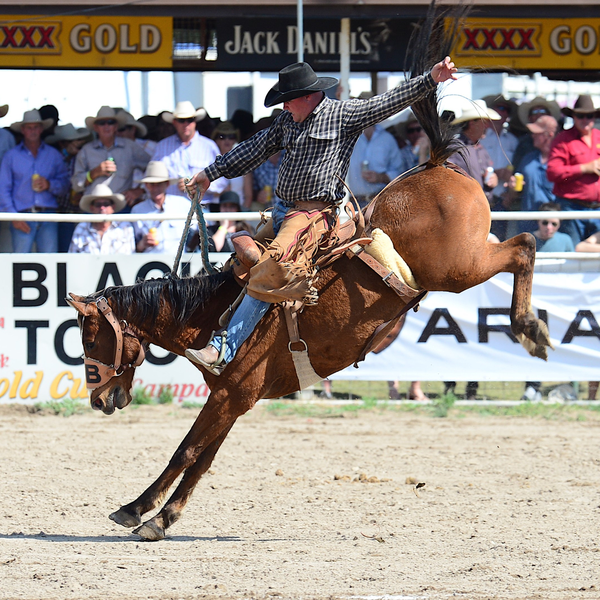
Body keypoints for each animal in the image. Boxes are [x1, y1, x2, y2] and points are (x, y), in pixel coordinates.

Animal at [68, 7, 552, 540]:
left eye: (90, 337)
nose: (99, 399)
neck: (210, 315)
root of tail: (435, 165)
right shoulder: (237, 397)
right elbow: (202, 460)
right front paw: (157, 513)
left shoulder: (232, 392)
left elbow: (187, 451)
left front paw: (142, 513)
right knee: (523, 248)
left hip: (460, 267)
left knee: (524, 247)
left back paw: (531, 330)